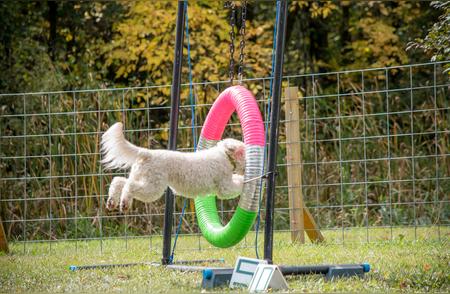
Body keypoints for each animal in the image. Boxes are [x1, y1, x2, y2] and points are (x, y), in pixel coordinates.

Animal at [100, 121, 246, 211]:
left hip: (141, 177)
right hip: (152, 187)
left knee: (118, 181)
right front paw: (246, 181)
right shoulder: (225, 187)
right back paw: (124, 203)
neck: (226, 156)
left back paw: (113, 202)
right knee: (129, 186)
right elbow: (237, 185)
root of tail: (147, 153)